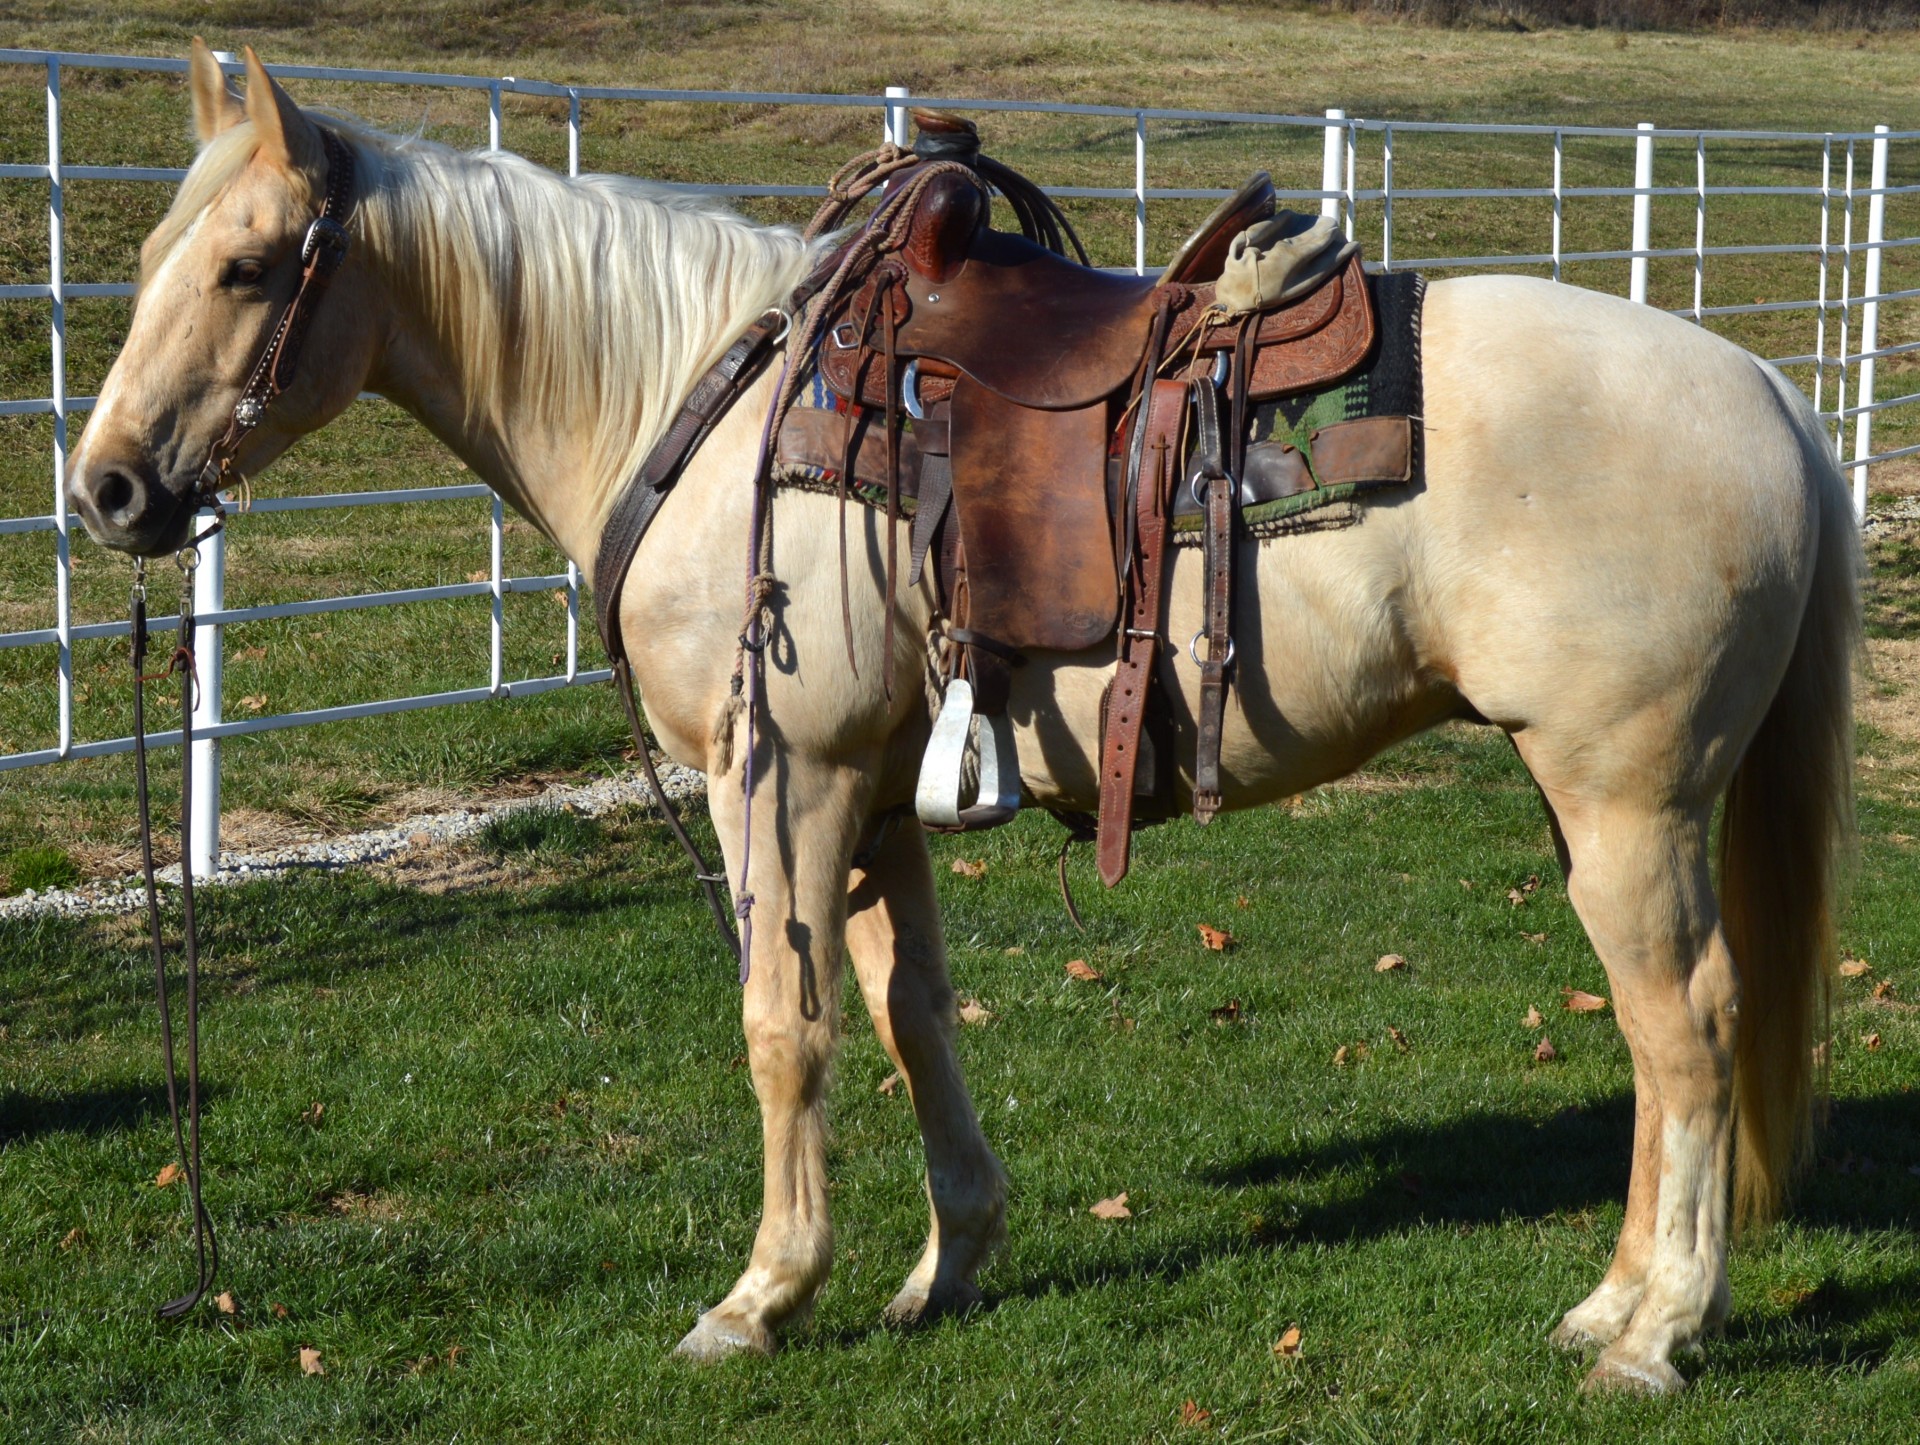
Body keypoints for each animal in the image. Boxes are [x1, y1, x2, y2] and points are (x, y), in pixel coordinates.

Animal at [74, 50, 1858, 1389]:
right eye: (154, 258)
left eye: (247, 267)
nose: (105, 491)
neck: (696, 400)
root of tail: (1771, 397)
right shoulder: (870, 793)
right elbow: (907, 1013)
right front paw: (947, 1264)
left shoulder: (776, 780)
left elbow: (783, 1026)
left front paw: (762, 1296)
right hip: (1587, 805)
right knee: (1655, 1034)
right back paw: (1612, 1298)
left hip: (1630, 802)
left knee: (1688, 1021)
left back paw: (1657, 1331)